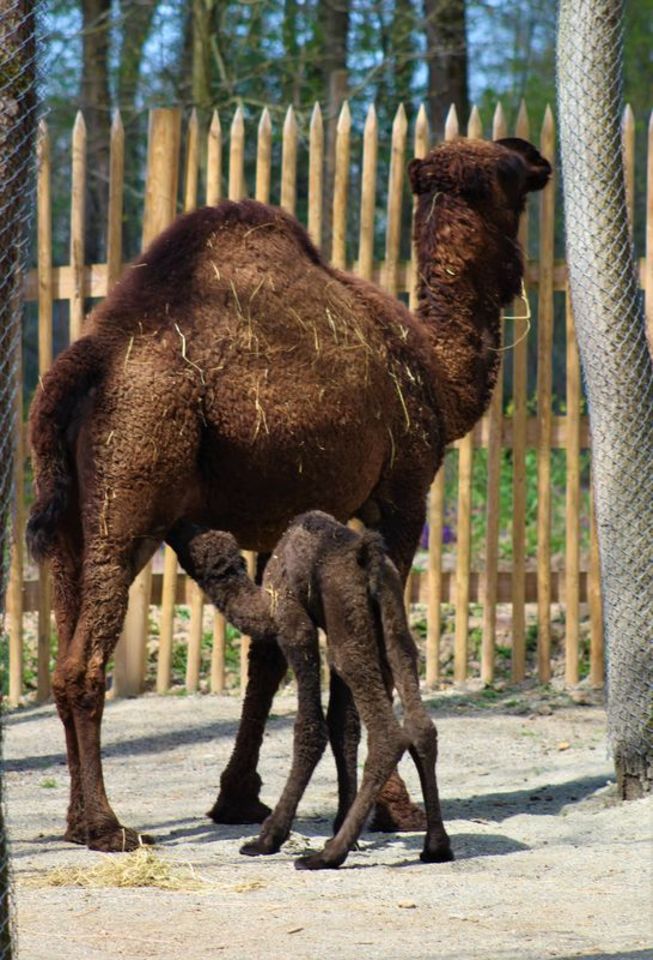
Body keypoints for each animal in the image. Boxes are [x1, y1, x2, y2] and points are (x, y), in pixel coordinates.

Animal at [169, 511, 454, 870]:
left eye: (195, 539)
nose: (175, 526)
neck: (265, 599)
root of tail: (369, 558)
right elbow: (344, 728)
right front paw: (345, 831)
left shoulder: (293, 622)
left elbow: (311, 728)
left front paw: (267, 839)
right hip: (390, 622)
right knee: (420, 723)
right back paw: (435, 847)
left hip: (348, 627)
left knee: (387, 733)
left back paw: (326, 856)